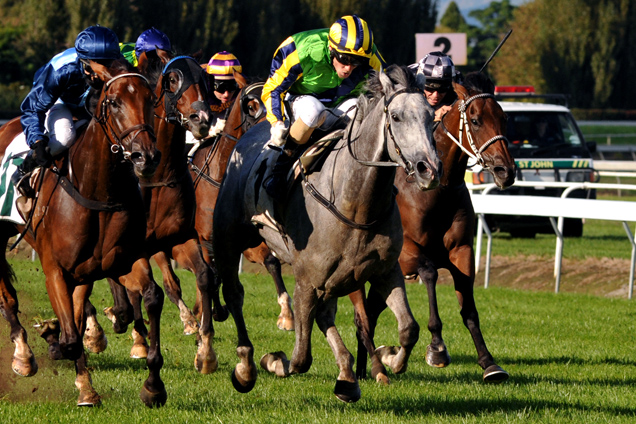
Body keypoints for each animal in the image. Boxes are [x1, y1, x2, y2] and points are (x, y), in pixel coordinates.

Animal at [0, 59, 166, 408]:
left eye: (151, 100)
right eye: (114, 102)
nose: (146, 156)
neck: (97, 189)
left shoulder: (114, 262)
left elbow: (152, 296)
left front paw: (153, 386)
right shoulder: (55, 270)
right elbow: (71, 340)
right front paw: (52, 338)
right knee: (7, 298)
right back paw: (23, 354)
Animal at [189, 78, 296, 332]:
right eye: (251, 106)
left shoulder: (253, 237)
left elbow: (271, 261)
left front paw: (286, 314)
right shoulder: (207, 238)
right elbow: (212, 275)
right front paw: (214, 313)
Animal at [214, 64, 442, 402]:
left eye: (431, 115)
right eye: (397, 116)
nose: (430, 169)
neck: (357, 203)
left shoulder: (385, 271)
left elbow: (408, 329)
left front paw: (389, 359)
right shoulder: (306, 280)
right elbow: (299, 358)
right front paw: (274, 360)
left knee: (325, 315)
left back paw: (347, 374)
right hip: (228, 238)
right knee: (234, 294)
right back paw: (244, 366)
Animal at [352, 72, 516, 384]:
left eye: (503, 117)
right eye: (475, 119)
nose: (506, 171)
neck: (437, 193)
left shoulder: (462, 252)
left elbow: (469, 308)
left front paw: (489, 363)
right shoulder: (407, 254)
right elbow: (429, 273)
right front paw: (437, 348)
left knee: (370, 313)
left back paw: (367, 367)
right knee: (362, 315)